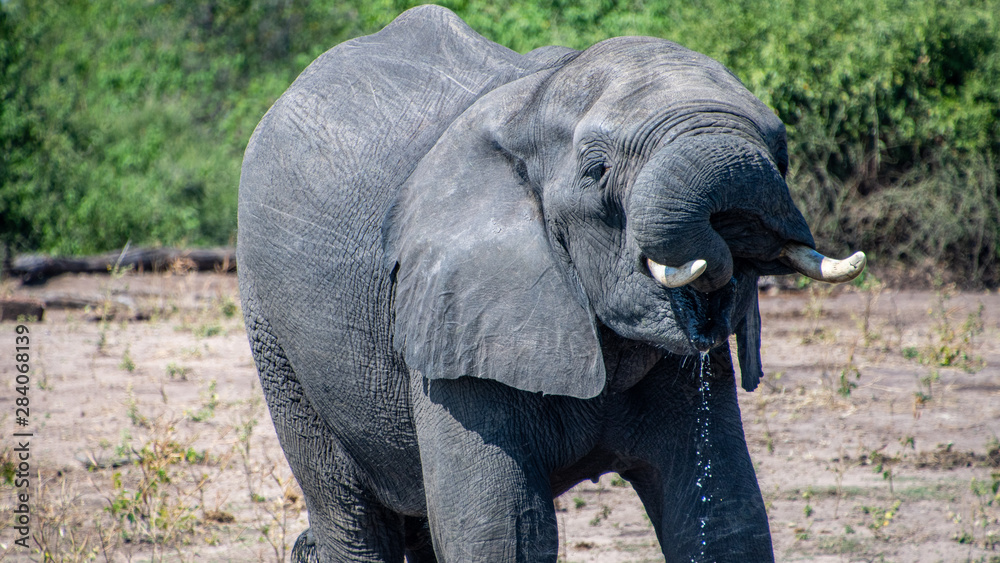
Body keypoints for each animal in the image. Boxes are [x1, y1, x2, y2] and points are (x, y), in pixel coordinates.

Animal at [237, 5, 866, 562]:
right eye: (597, 171)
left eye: (782, 154)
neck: (536, 99)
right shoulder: (455, 319)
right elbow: (502, 533)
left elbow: (726, 514)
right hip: (273, 330)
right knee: (351, 515)